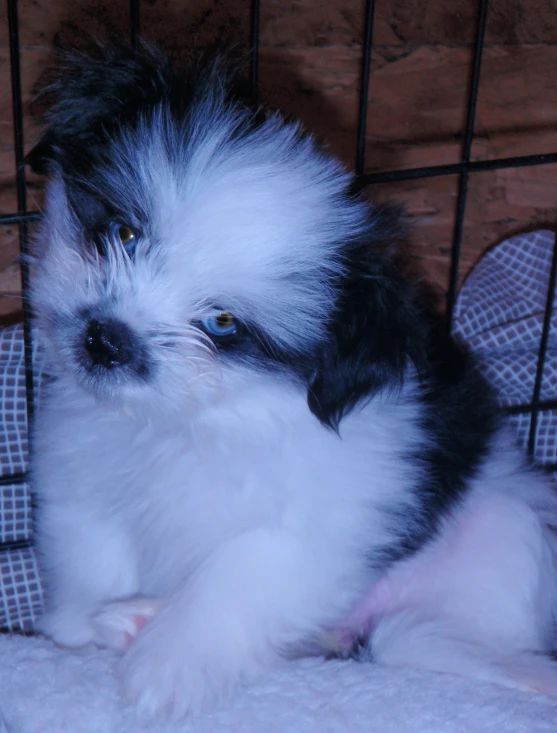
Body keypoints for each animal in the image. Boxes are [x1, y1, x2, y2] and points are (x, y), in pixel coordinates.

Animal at [28, 41, 556, 716]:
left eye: (222, 322)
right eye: (122, 232)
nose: (108, 338)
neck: (194, 422)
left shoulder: (324, 524)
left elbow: (240, 575)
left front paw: (167, 669)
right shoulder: (82, 479)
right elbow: (92, 553)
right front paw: (72, 632)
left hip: (499, 532)